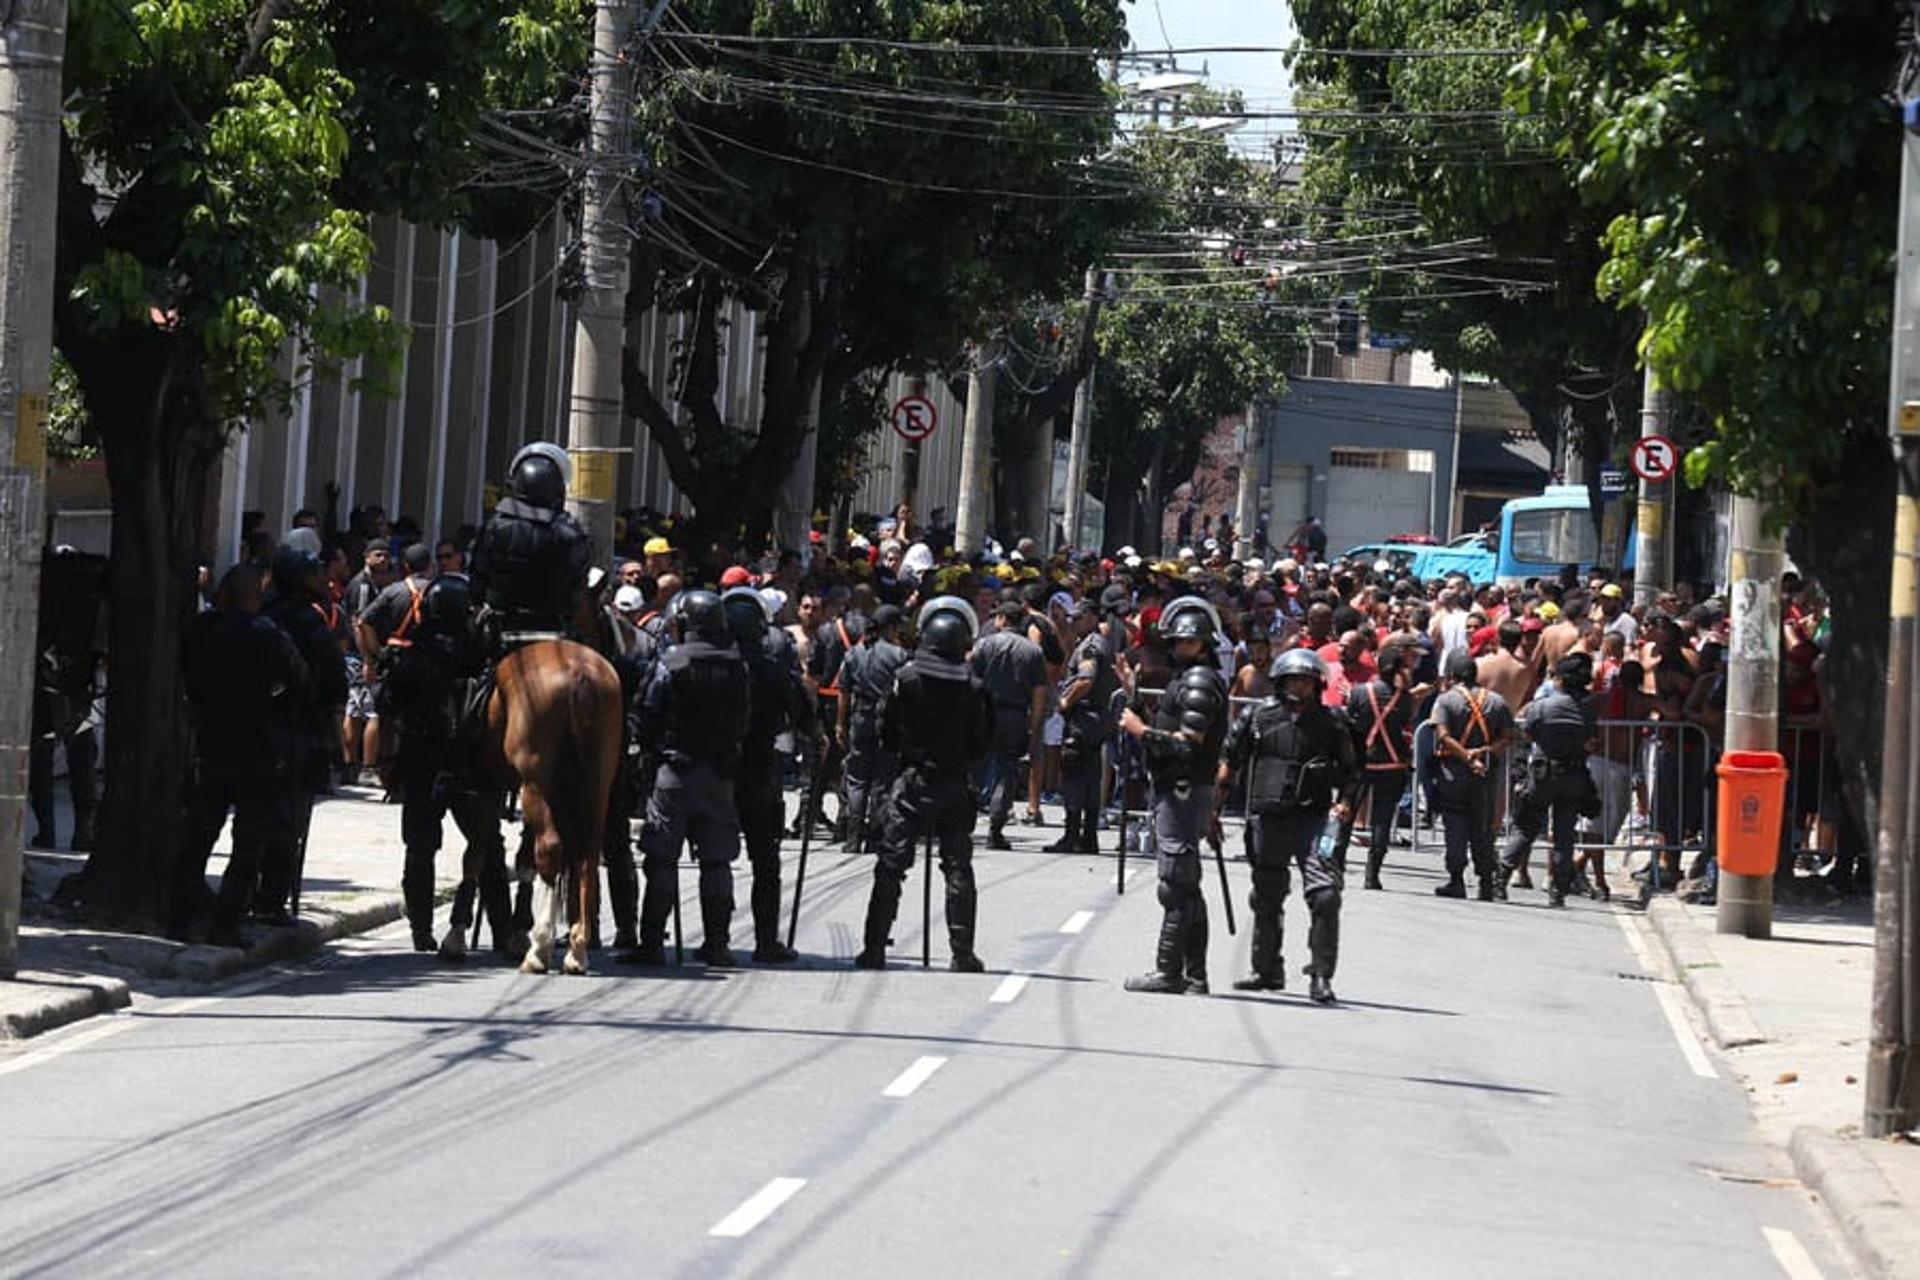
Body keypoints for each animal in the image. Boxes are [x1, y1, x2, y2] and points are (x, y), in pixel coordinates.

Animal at [460, 637, 618, 974]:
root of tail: (579, 673)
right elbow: (523, 860)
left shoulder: (487, 787)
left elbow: (476, 853)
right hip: (596, 787)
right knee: (587, 857)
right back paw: (577, 949)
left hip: (534, 786)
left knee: (551, 847)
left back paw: (540, 949)